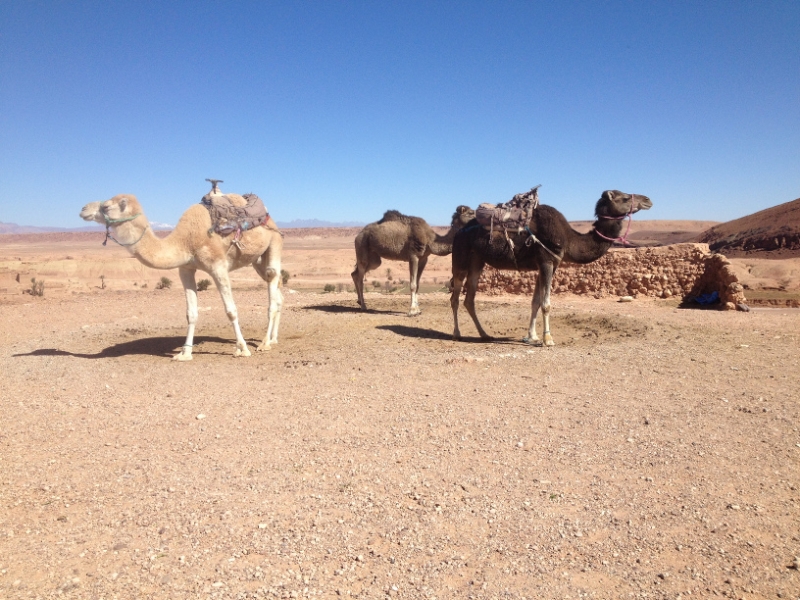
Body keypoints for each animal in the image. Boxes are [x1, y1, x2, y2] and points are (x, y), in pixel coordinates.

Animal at [79, 183, 283, 361]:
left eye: (106, 206)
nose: (83, 209)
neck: (185, 240)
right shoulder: (185, 269)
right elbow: (191, 313)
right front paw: (185, 353)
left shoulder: (218, 266)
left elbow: (231, 311)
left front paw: (242, 349)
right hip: (256, 259)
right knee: (277, 292)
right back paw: (273, 339)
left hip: (274, 241)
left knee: (272, 282)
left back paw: (265, 343)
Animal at [450, 189, 653, 345]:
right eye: (624, 198)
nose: (648, 200)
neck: (569, 239)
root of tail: (459, 232)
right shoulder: (546, 261)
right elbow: (546, 304)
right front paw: (548, 339)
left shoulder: (547, 265)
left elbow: (536, 302)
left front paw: (531, 337)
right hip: (460, 258)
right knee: (455, 297)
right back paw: (457, 334)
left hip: (477, 261)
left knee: (469, 299)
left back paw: (484, 334)